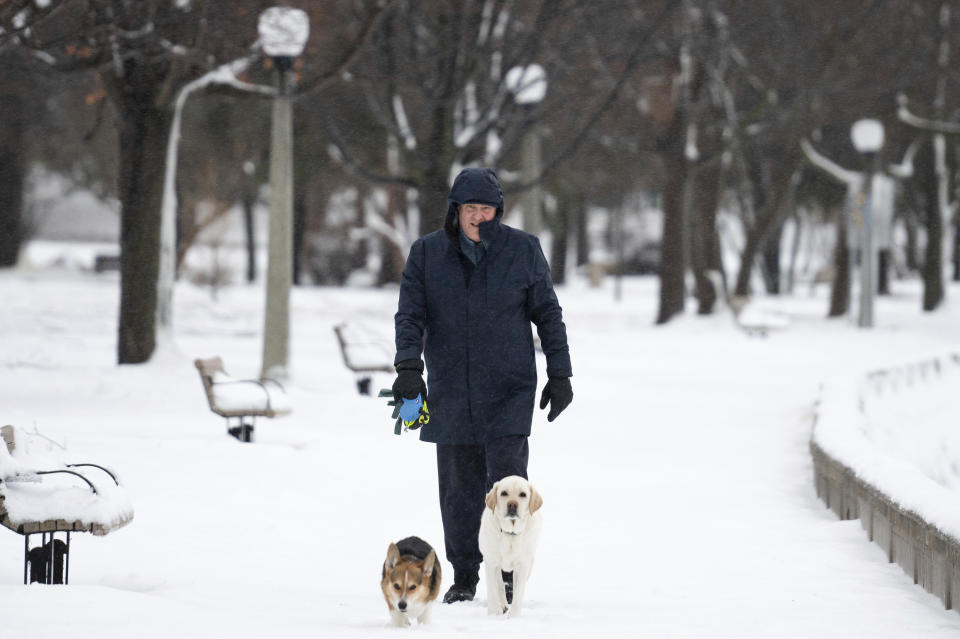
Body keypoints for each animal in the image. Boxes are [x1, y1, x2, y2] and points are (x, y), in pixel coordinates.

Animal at [478, 476, 540, 620]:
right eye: (504, 493)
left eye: (523, 494)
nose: (512, 505)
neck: (510, 534)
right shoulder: (491, 563)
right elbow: (493, 590)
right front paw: (493, 614)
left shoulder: (523, 566)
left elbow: (518, 593)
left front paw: (514, 617)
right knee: (499, 584)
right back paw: (502, 605)